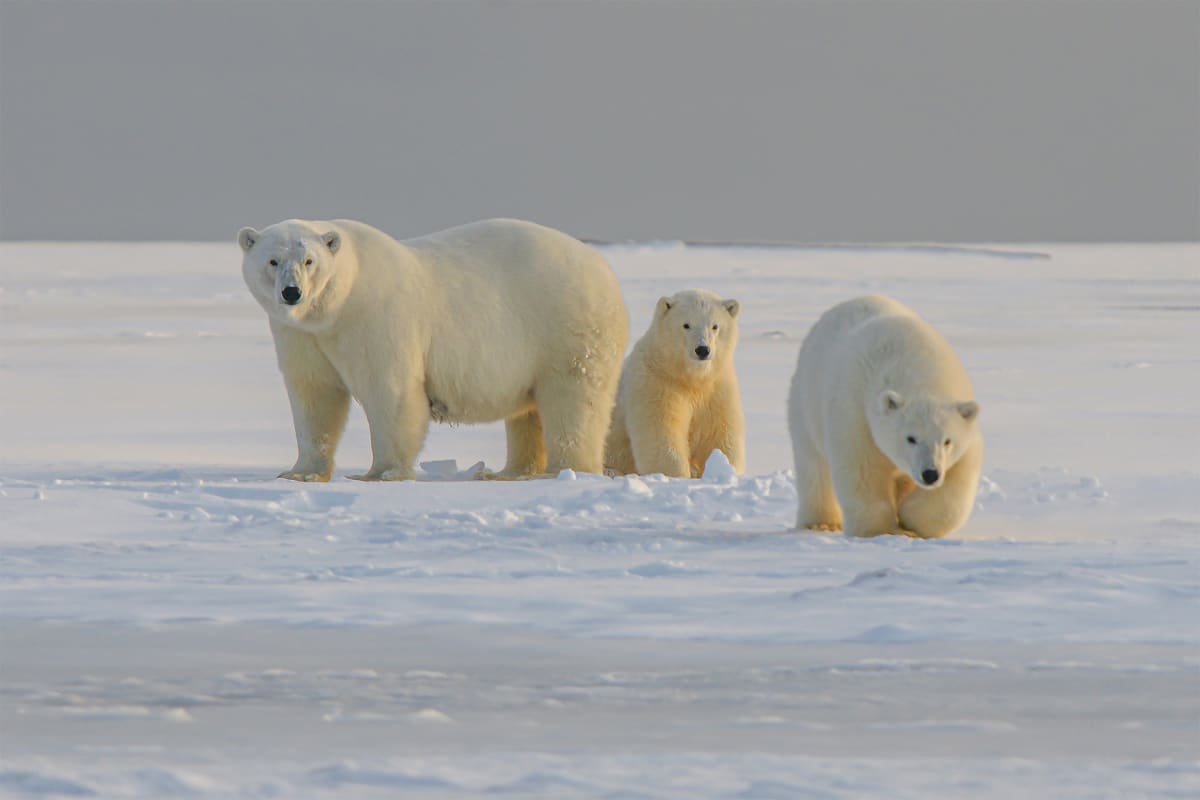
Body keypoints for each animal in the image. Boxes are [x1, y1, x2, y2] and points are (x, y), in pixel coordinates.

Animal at [238, 217, 629, 482]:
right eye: (272, 260)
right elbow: (314, 395)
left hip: (565, 327)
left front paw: (381, 473)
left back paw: (564, 470)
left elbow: (391, 392)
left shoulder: (376, 318)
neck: (337, 306)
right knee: (528, 412)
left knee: (572, 400)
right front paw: (300, 472)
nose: (292, 292)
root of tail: (603, 268)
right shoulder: (301, 335)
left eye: (309, 261)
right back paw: (509, 472)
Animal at [605, 289, 744, 478]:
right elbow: (662, 433)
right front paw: (678, 475)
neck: (689, 377)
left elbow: (719, 433)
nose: (702, 350)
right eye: (686, 325)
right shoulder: (657, 383)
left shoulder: (717, 388)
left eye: (715, 326)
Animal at [787, 295, 982, 538]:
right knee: (813, 466)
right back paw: (820, 523)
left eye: (947, 440)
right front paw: (881, 530)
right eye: (911, 438)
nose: (930, 474)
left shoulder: (965, 431)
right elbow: (863, 469)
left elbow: (958, 478)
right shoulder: (856, 412)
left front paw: (910, 520)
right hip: (805, 403)